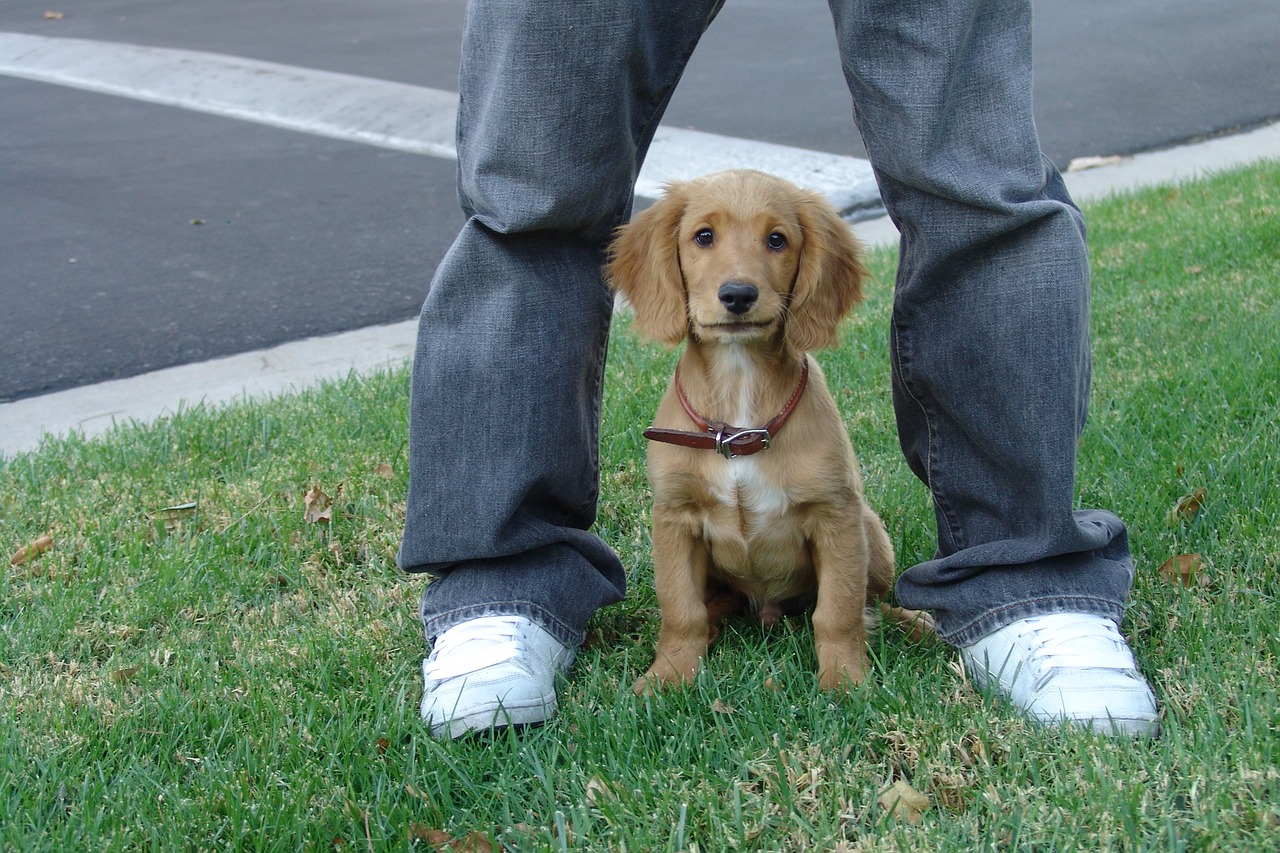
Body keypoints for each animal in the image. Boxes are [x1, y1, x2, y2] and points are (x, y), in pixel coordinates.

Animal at [604, 167, 906, 691]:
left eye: (777, 240)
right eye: (704, 236)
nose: (738, 295)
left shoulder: (836, 515)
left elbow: (838, 609)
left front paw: (846, 683)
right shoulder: (674, 519)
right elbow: (680, 608)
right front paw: (668, 677)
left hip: (872, 531)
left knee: (873, 602)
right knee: (713, 604)